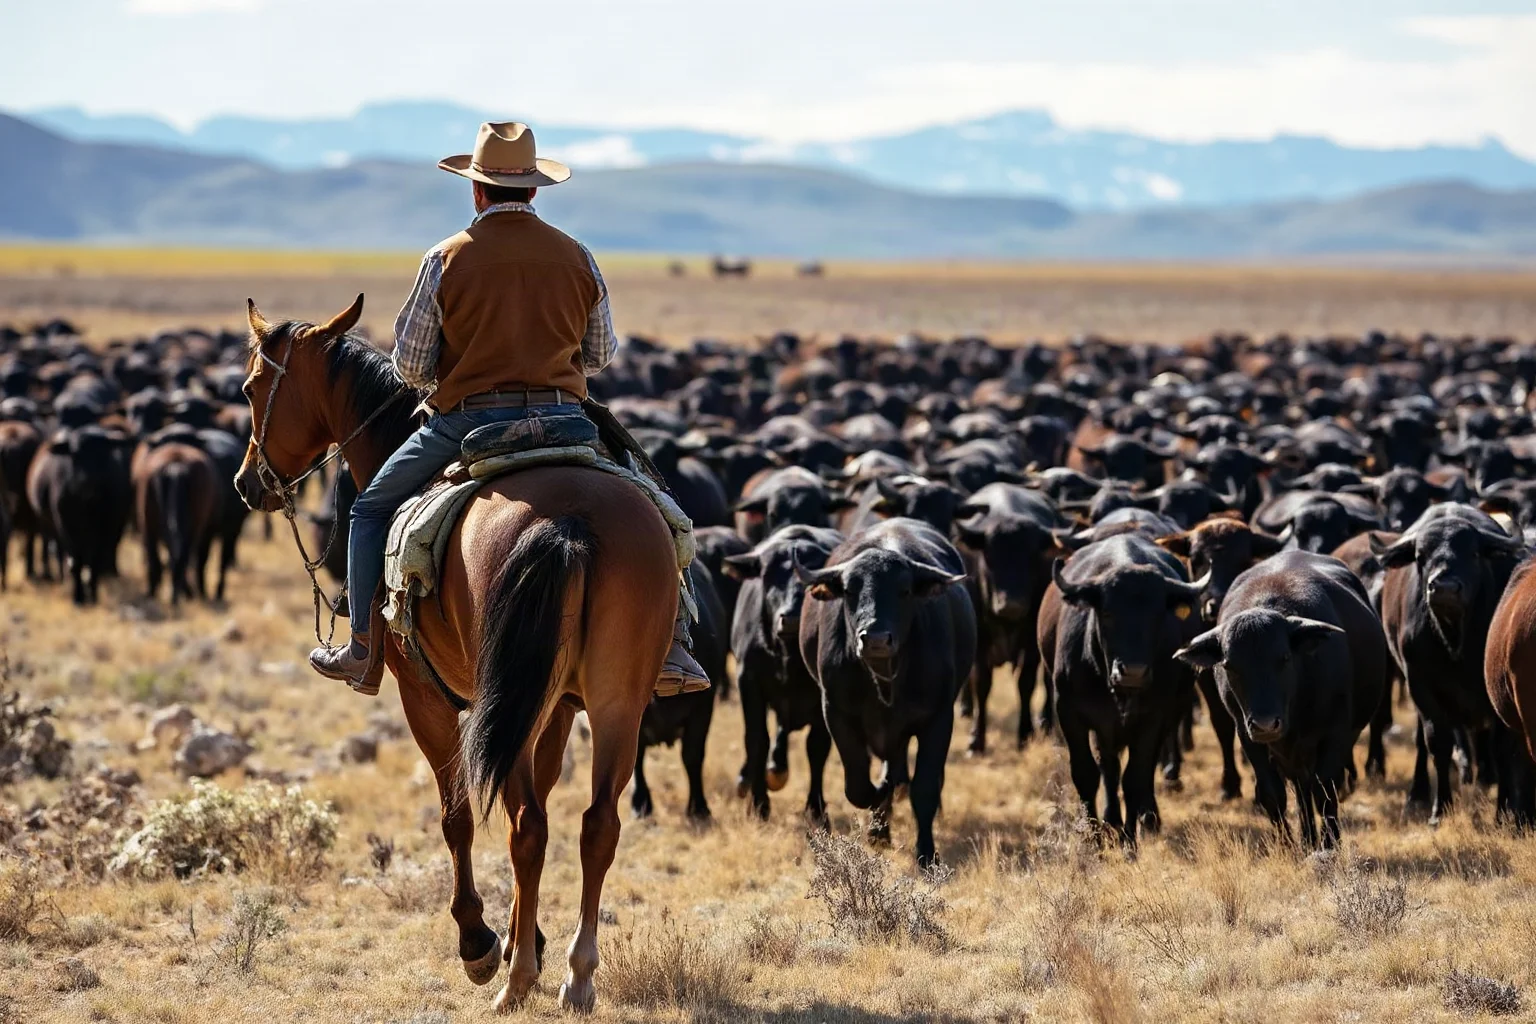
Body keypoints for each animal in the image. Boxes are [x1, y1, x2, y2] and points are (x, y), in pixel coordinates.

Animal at [798, 518, 976, 866]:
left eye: (904, 591)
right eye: (849, 590)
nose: (877, 638)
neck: (884, 678)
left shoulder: (938, 718)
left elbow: (924, 788)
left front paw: (926, 854)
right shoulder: (836, 711)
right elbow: (857, 786)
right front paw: (880, 809)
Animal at [1174, 551, 1388, 847]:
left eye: (1284, 658)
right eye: (1230, 665)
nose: (1266, 724)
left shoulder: (1337, 732)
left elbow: (1326, 790)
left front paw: (1330, 844)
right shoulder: (1248, 735)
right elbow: (1272, 793)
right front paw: (1287, 845)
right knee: (1300, 787)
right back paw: (1307, 838)